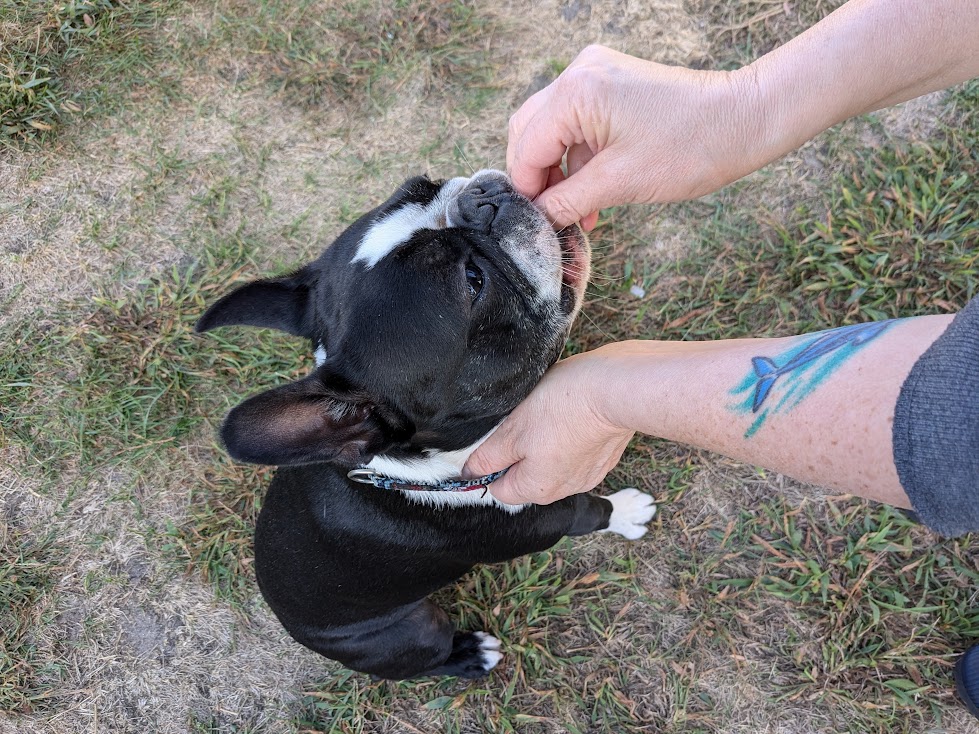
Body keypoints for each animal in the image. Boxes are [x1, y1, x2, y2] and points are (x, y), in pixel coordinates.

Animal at [197, 170, 660, 680]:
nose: (479, 200)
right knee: (429, 659)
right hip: (412, 631)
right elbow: (592, 511)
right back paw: (471, 654)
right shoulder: (551, 517)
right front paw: (627, 511)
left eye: (423, 184)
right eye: (474, 282)